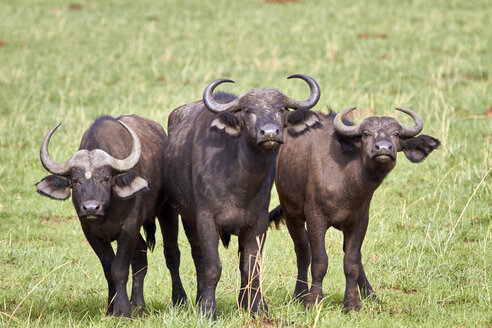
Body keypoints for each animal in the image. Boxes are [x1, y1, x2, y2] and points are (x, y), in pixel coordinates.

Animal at [35, 116, 186, 318]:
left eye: (106, 179)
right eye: (76, 180)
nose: (91, 207)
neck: (107, 211)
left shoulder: (129, 227)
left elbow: (119, 269)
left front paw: (122, 311)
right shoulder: (90, 232)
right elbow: (108, 268)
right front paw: (110, 308)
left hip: (167, 211)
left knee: (171, 254)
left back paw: (179, 299)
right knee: (140, 256)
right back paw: (138, 305)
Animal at [163, 74, 320, 318]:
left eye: (282, 108)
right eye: (248, 110)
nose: (270, 133)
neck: (239, 183)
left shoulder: (257, 223)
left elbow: (251, 266)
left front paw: (256, 307)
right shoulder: (205, 220)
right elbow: (212, 266)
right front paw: (208, 310)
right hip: (186, 218)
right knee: (198, 258)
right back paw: (199, 299)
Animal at [270, 108, 440, 312]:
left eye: (396, 134)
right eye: (366, 134)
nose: (383, 149)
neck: (347, 182)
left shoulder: (360, 222)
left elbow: (351, 262)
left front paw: (353, 303)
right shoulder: (315, 219)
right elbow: (319, 261)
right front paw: (313, 300)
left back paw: (371, 295)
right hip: (291, 213)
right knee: (302, 251)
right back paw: (300, 294)